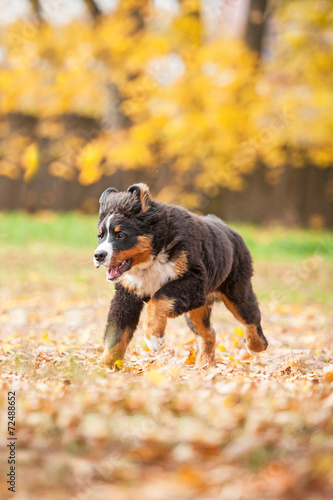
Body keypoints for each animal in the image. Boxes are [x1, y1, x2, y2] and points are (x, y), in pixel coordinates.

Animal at [93, 184, 268, 368]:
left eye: (121, 235)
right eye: (100, 236)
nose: (98, 255)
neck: (152, 257)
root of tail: (233, 232)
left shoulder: (193, 281)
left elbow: (158, 298)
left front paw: (154, 338)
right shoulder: (126, 294)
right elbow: (117, 333)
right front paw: (105, 366)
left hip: (237, 292)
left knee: (251, 320)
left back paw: (255, 346)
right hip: (197, 308)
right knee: (208, 334)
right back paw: (204, 367)